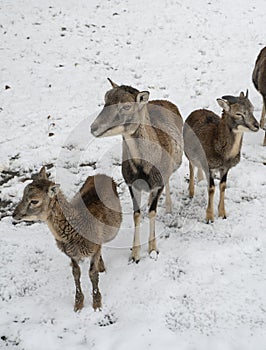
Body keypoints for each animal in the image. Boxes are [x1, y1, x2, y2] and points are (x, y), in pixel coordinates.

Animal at [11, 167, 121, 312]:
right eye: (23, 194)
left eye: (34, 201)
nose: (14, 214)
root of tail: (100, 175)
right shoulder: (71, 254)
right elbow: (76, 273)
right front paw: (78, 304)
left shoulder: (94, 246)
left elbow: (92, 273)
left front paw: (97, 304)